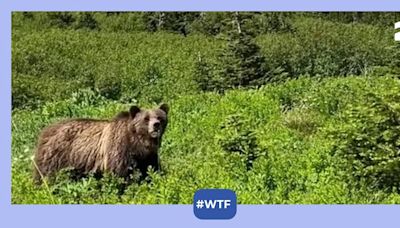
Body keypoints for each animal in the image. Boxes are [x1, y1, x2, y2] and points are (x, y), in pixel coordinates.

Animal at [32, 103, 168, 183]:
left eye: (160, 117)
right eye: (146, 119)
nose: (156, 125)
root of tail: (45, 131)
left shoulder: (147, 156)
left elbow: (150, 170)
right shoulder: (119, 148)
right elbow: (119, 174)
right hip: (56, 156)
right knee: (46, 175)